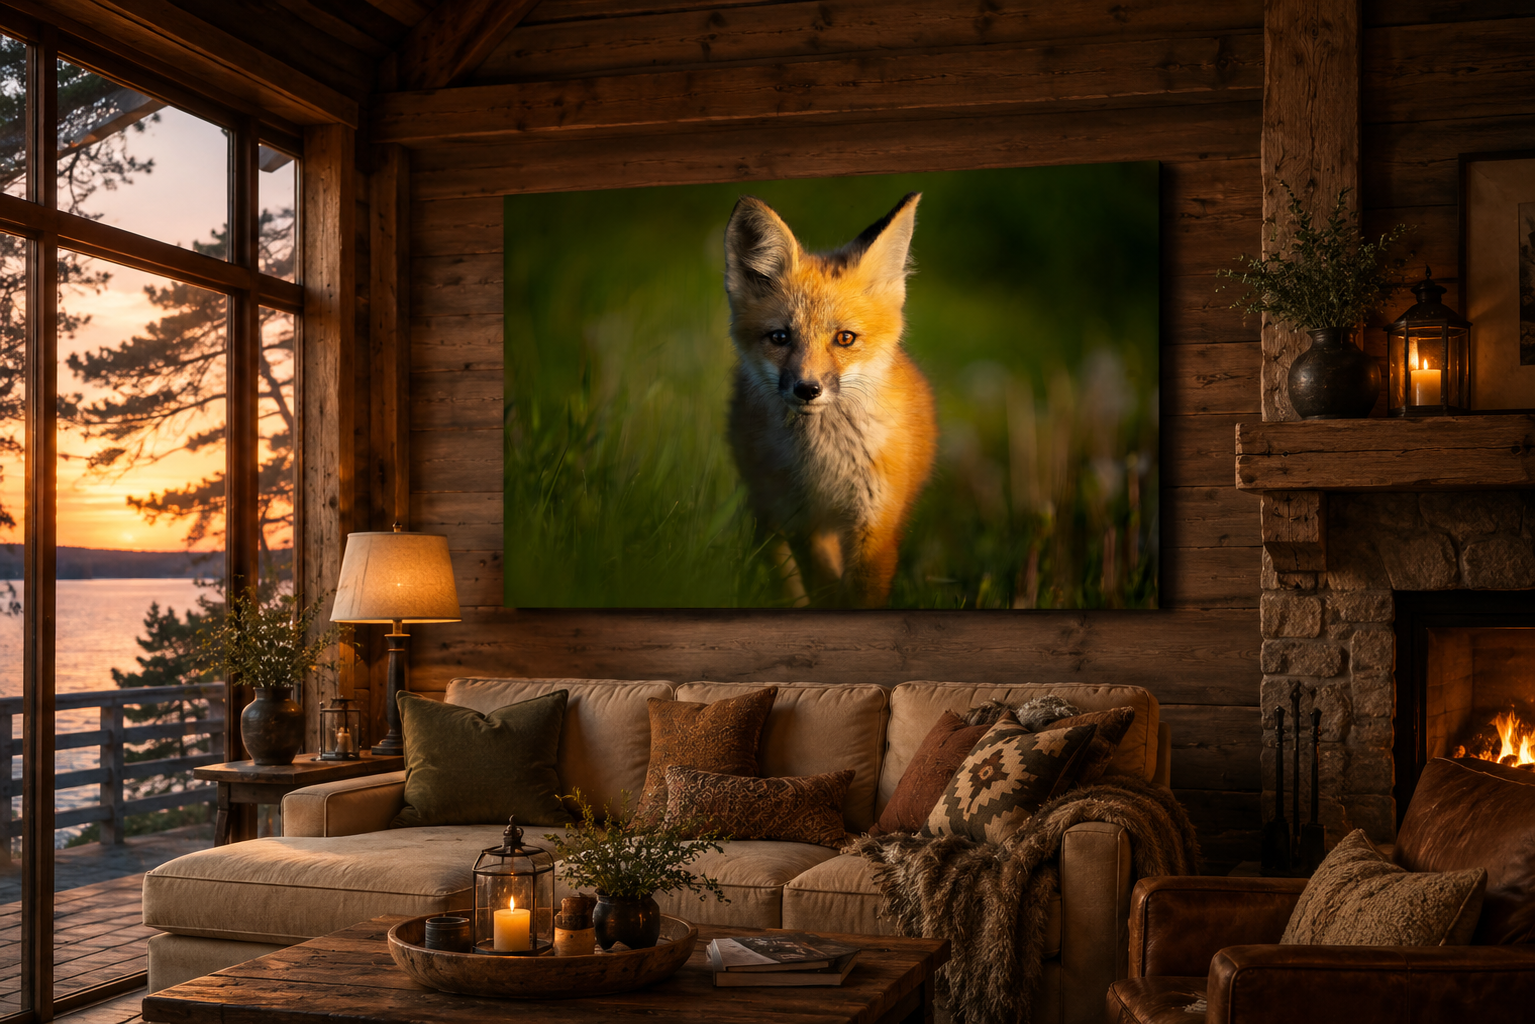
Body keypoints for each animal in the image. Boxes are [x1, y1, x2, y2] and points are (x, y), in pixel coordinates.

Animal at [723, 192, 938, 608]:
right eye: (780, 337)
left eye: (845, 338)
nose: (807, 389)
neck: (827, 464)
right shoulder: (802, 521)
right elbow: (824, 584)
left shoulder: (876, 522)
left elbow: (860, 593)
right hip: (768, 508)